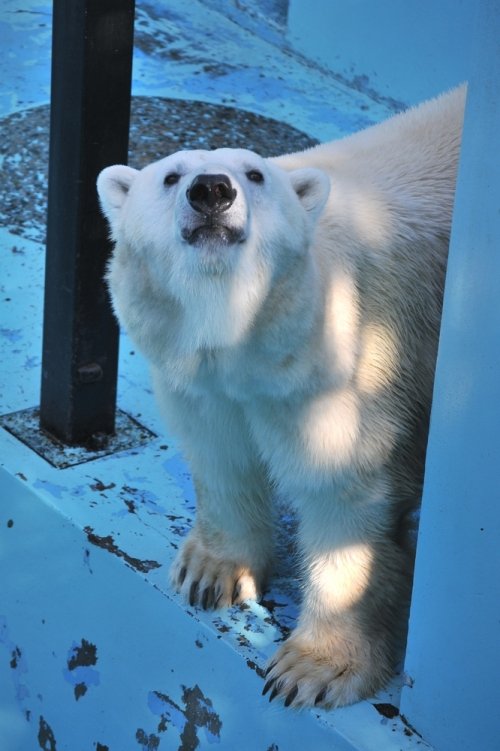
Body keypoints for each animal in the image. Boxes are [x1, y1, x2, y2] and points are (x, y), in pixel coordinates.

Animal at [98, 85, 468, 708]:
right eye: (171, 176)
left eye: (254, 174)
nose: (212, 190)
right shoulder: (207, 384)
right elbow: (221, 455)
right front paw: (210, 573)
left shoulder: (345, 376)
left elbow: (342, 495)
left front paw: (310, 670)